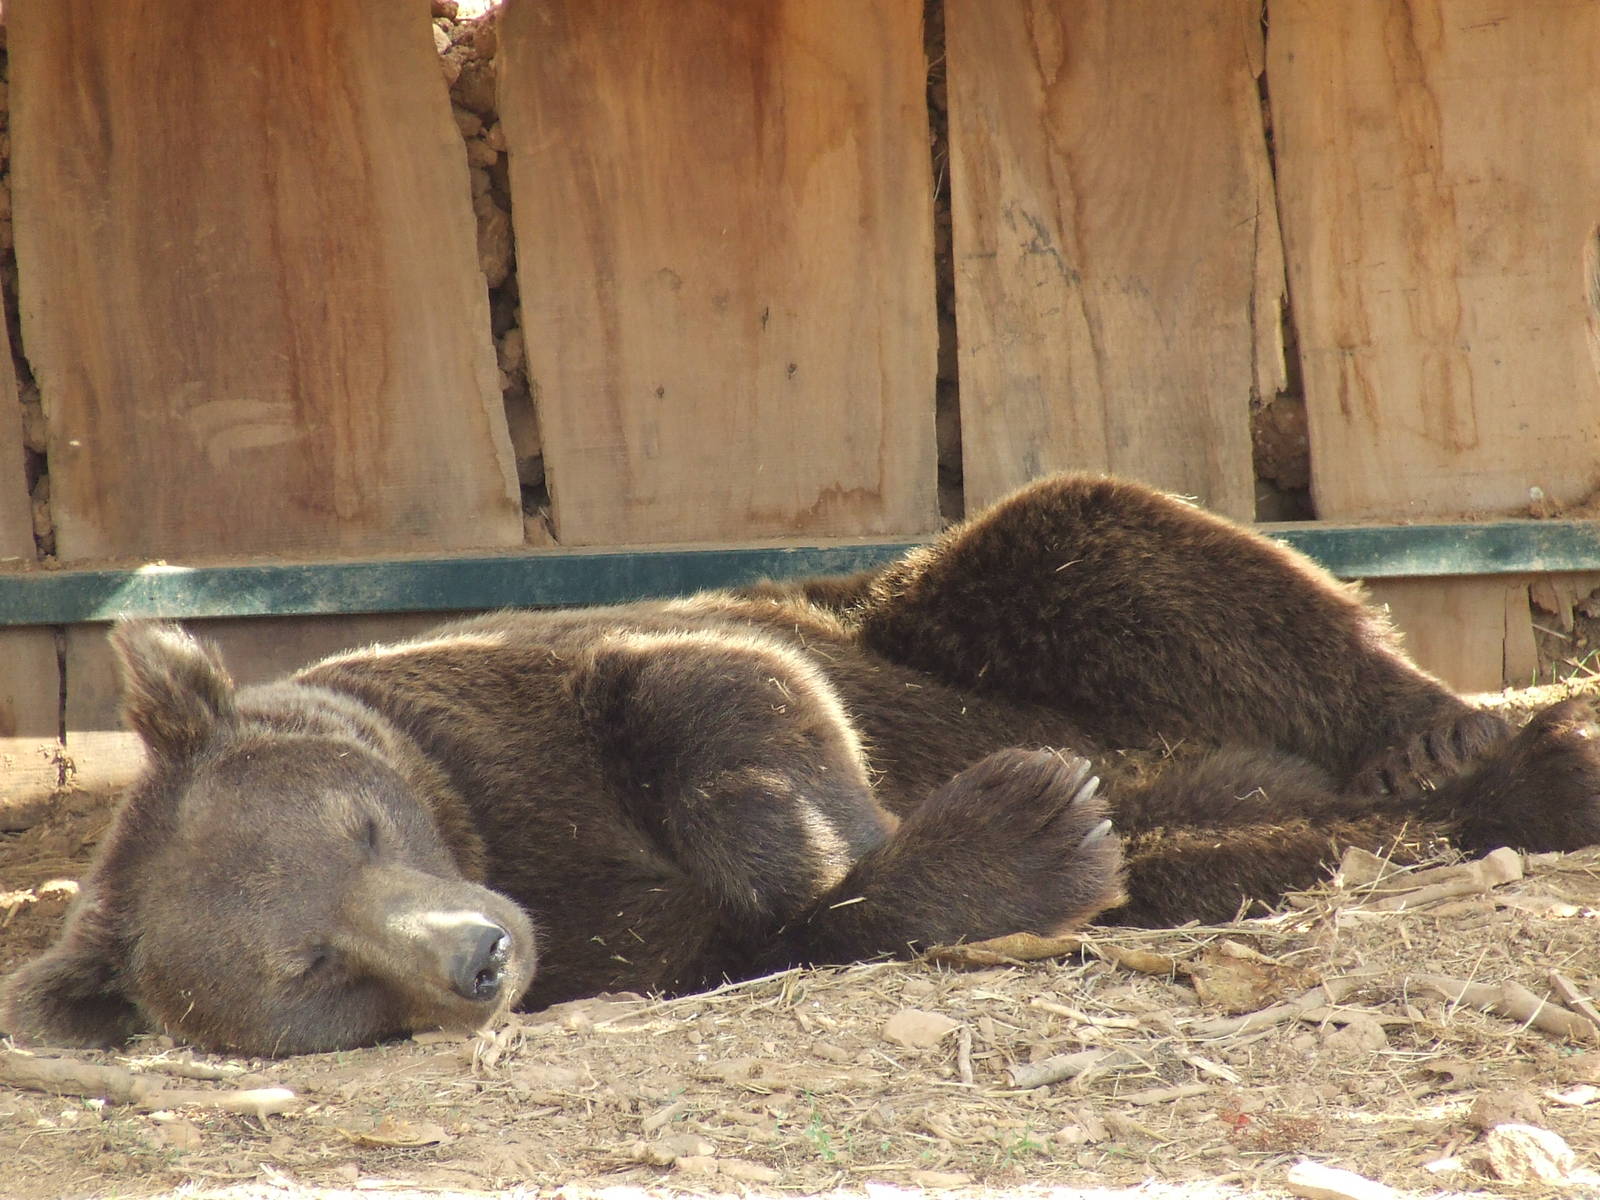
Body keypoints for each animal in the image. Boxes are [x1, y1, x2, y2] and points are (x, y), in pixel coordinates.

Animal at [5, 472, 1600, 1056]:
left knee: (1114, 544)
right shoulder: (624, 946)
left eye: (358, 828)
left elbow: (719, 692)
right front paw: (1026, 827)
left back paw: (1452, 732)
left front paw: (826, 825)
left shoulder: (513, 694)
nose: (474, 955)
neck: (497, 845)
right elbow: (792, 929)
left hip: (963, 625)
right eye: (311, 969)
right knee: (1218, 839)